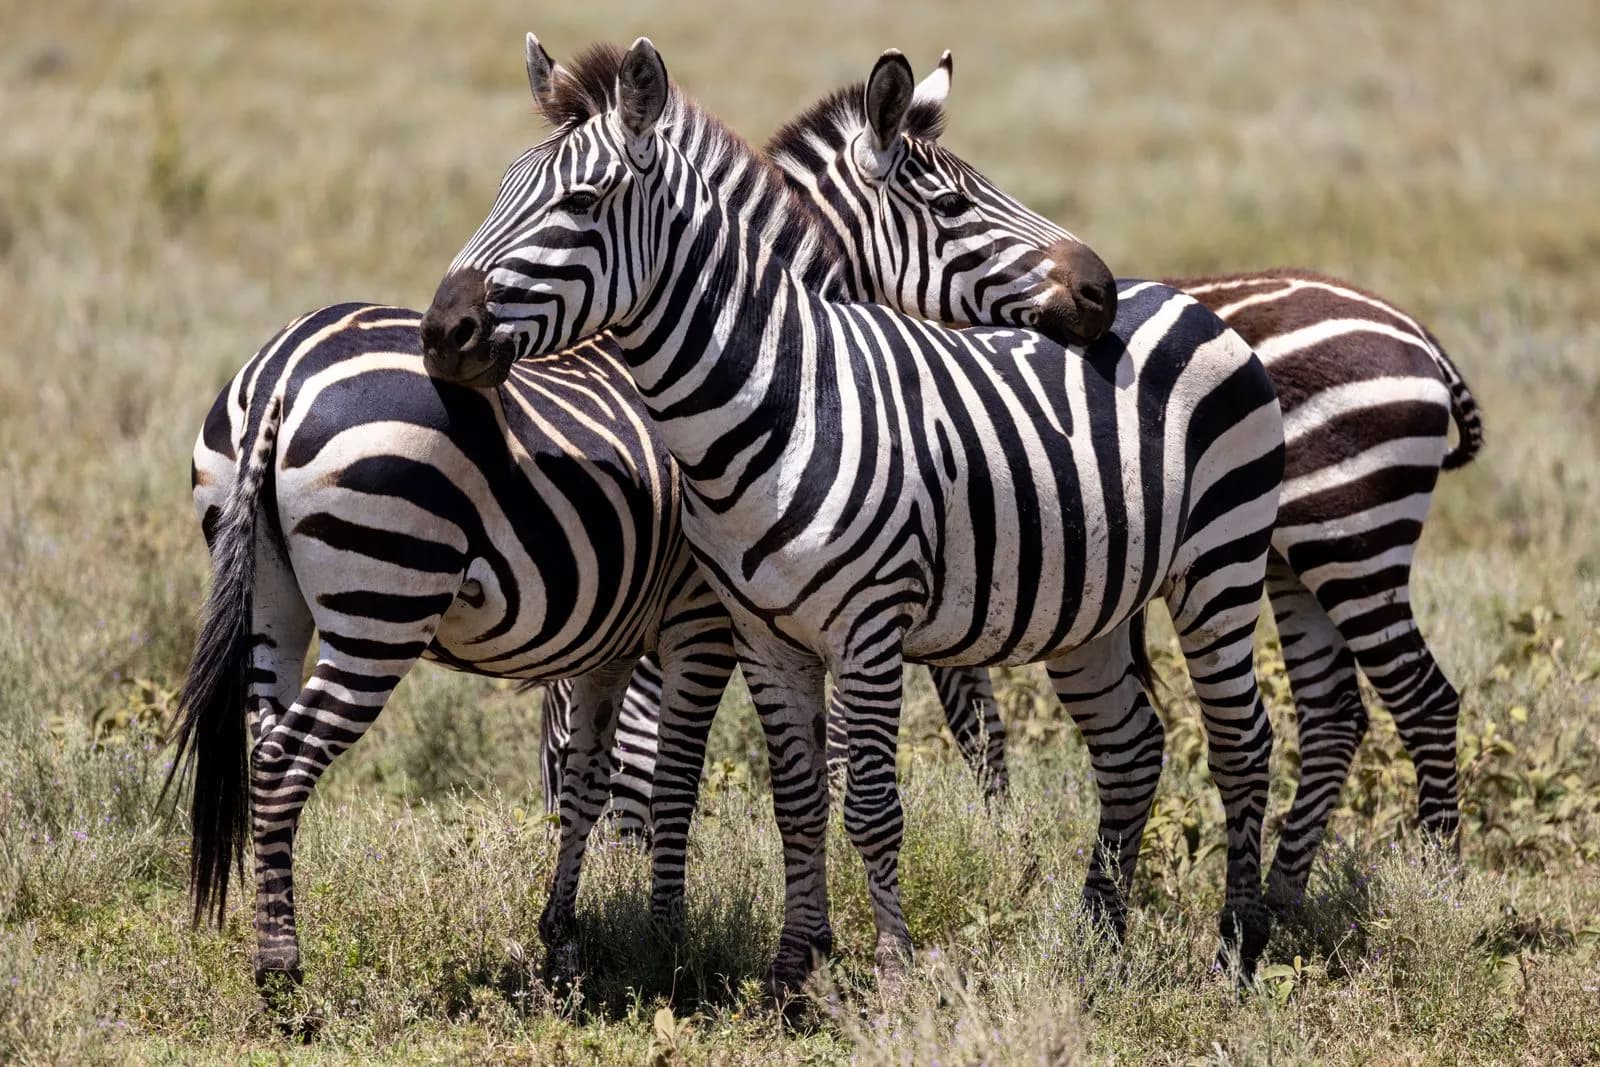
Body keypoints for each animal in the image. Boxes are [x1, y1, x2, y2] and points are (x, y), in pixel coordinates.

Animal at [423, 37, 1286, 991]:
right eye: (504, 190)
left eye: (580, 201)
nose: (441, 331)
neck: (785, 397)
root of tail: (1184, 297)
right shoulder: (761, 633)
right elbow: (797, 797)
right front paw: (794, 968)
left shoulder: (856, 627)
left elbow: (858, 797)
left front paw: (890, 969)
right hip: (1091, 605)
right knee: (1131, 748)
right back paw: (1099, 937)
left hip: (1219, 567)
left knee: (1241, 739)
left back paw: (1237, 945)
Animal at [557, 50, 1483, 911]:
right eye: (954, 206)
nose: (1097, 289)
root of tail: (1415, 332)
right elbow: (965, 718)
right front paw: (996, 841)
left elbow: (908, 730)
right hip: (1293, 559)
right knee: (1334, 710)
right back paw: (1286, 892)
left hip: (1348, 537)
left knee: (1423, 699)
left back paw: (1437, 880)